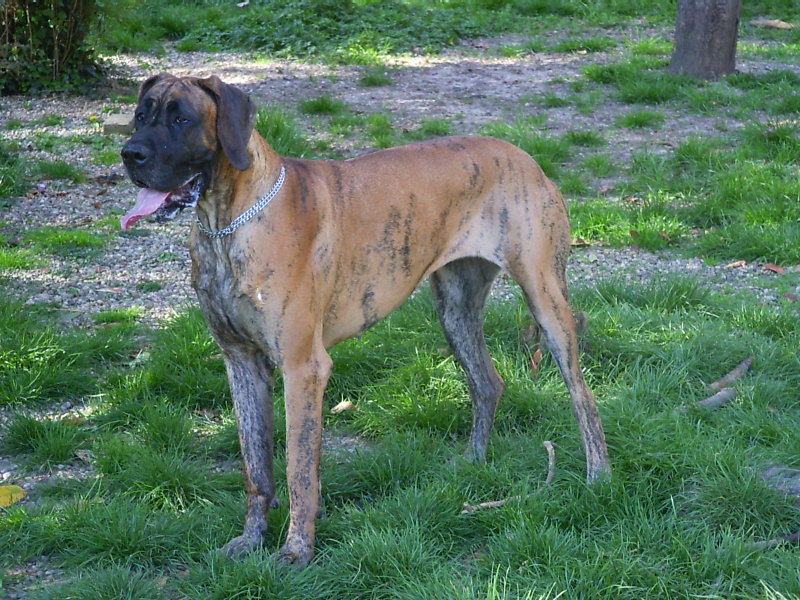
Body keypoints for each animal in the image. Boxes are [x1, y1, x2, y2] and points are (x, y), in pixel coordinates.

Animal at [119, 74, 608, 568]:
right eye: (141, 114)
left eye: (182, 119)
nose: (130, 154)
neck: (227, 223)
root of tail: (524, 155)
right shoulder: (241, 362)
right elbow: (256, 466)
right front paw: (252, 538)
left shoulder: (303, 368)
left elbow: (298, 469)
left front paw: (296, 550)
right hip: (456, 309)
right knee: (487, 382)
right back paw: (473, 461)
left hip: (545, 299)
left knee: (582, 395)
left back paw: (597, 476)